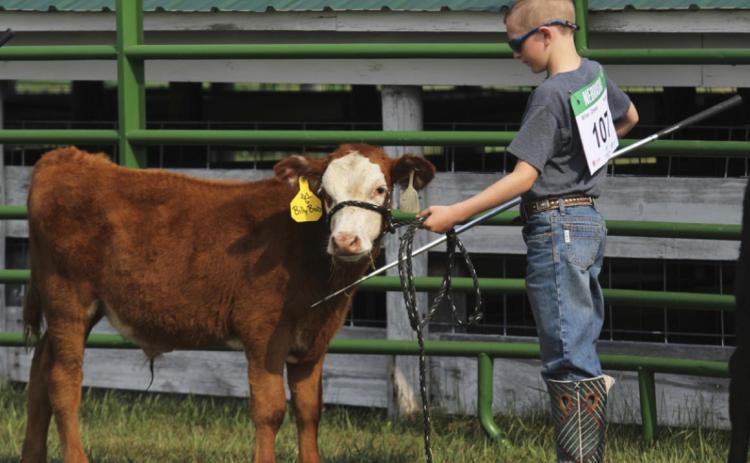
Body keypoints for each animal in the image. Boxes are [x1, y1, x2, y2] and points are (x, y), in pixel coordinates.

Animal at [19, 144, 435, 463]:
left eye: (380, 189)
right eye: (325, 192)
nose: (346, 241)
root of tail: (65, 157)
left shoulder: (313, 340)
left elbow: (308, 412)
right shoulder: (263, 335)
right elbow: (270, 411)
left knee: (40, 369)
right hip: (68, 301)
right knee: (62, 380)